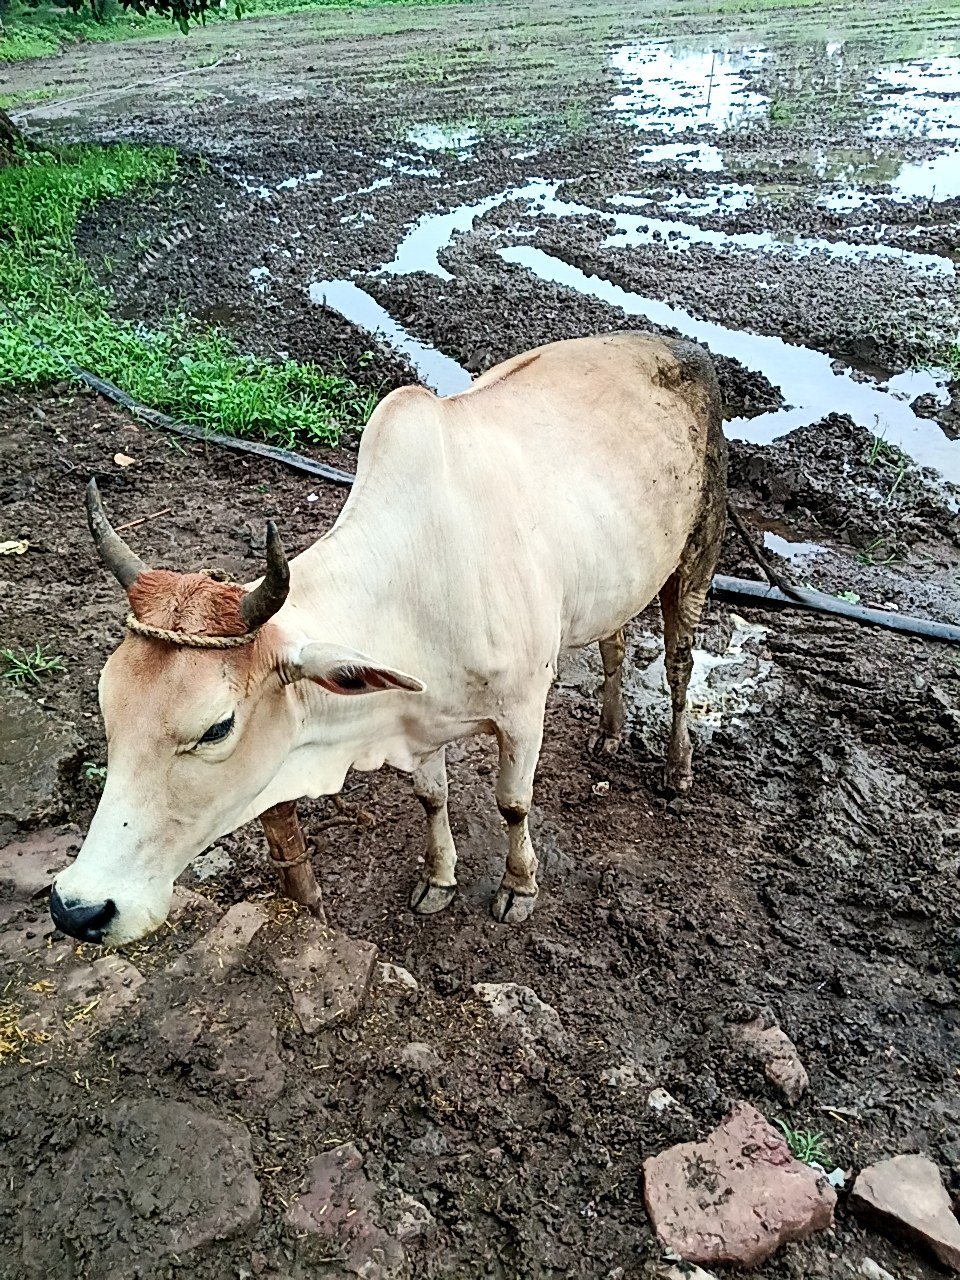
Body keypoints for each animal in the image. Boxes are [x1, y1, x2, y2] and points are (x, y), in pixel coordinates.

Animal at [50, 332, 727, 946]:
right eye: (107, 705)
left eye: (217, 728)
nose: (78, 908)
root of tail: (678, 347)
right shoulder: (417, 718)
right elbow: (431, 798)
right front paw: (439, 879)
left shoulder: (522, 711)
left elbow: (513, 803)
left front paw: (518, 886)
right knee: (615, 645)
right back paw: (609, 732)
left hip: (696, 560)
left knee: (679, 667)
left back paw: (677, 766)